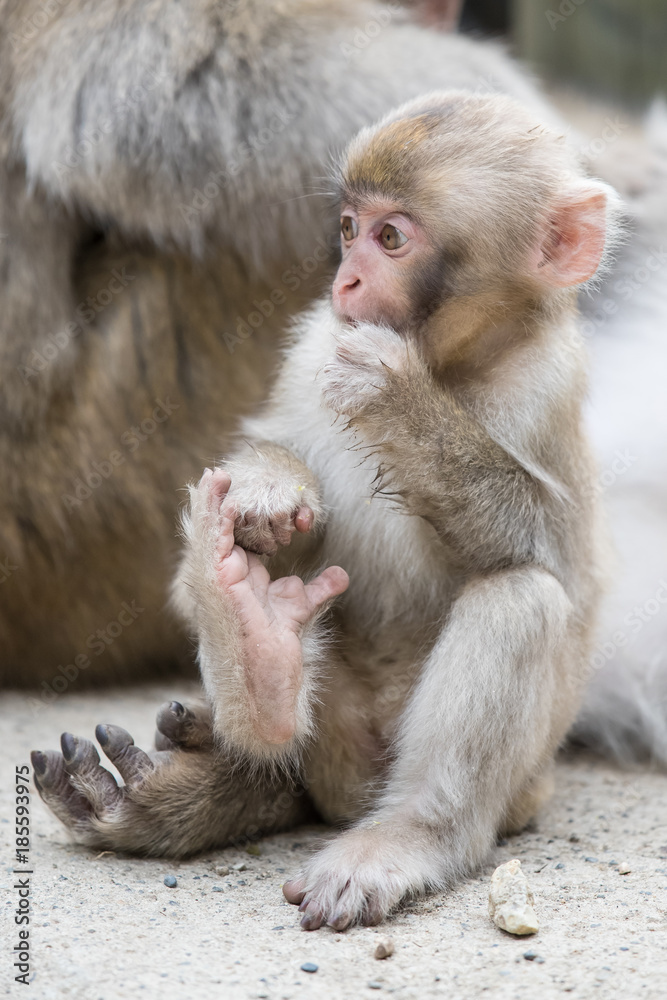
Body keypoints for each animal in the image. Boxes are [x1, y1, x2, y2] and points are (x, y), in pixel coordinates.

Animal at [34, 92, 620, 928]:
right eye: (348, 228)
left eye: (390, 237)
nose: (344, 280)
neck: (450, 362)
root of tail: (351, 789)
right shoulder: (313, 343)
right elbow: (260, 456)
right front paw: (270, 488)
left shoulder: (547, 379)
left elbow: (553, 552)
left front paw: (393, 396)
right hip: (330, 731)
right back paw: (258, 659)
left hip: (515, 787)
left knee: (520, 597)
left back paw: (406, 833)